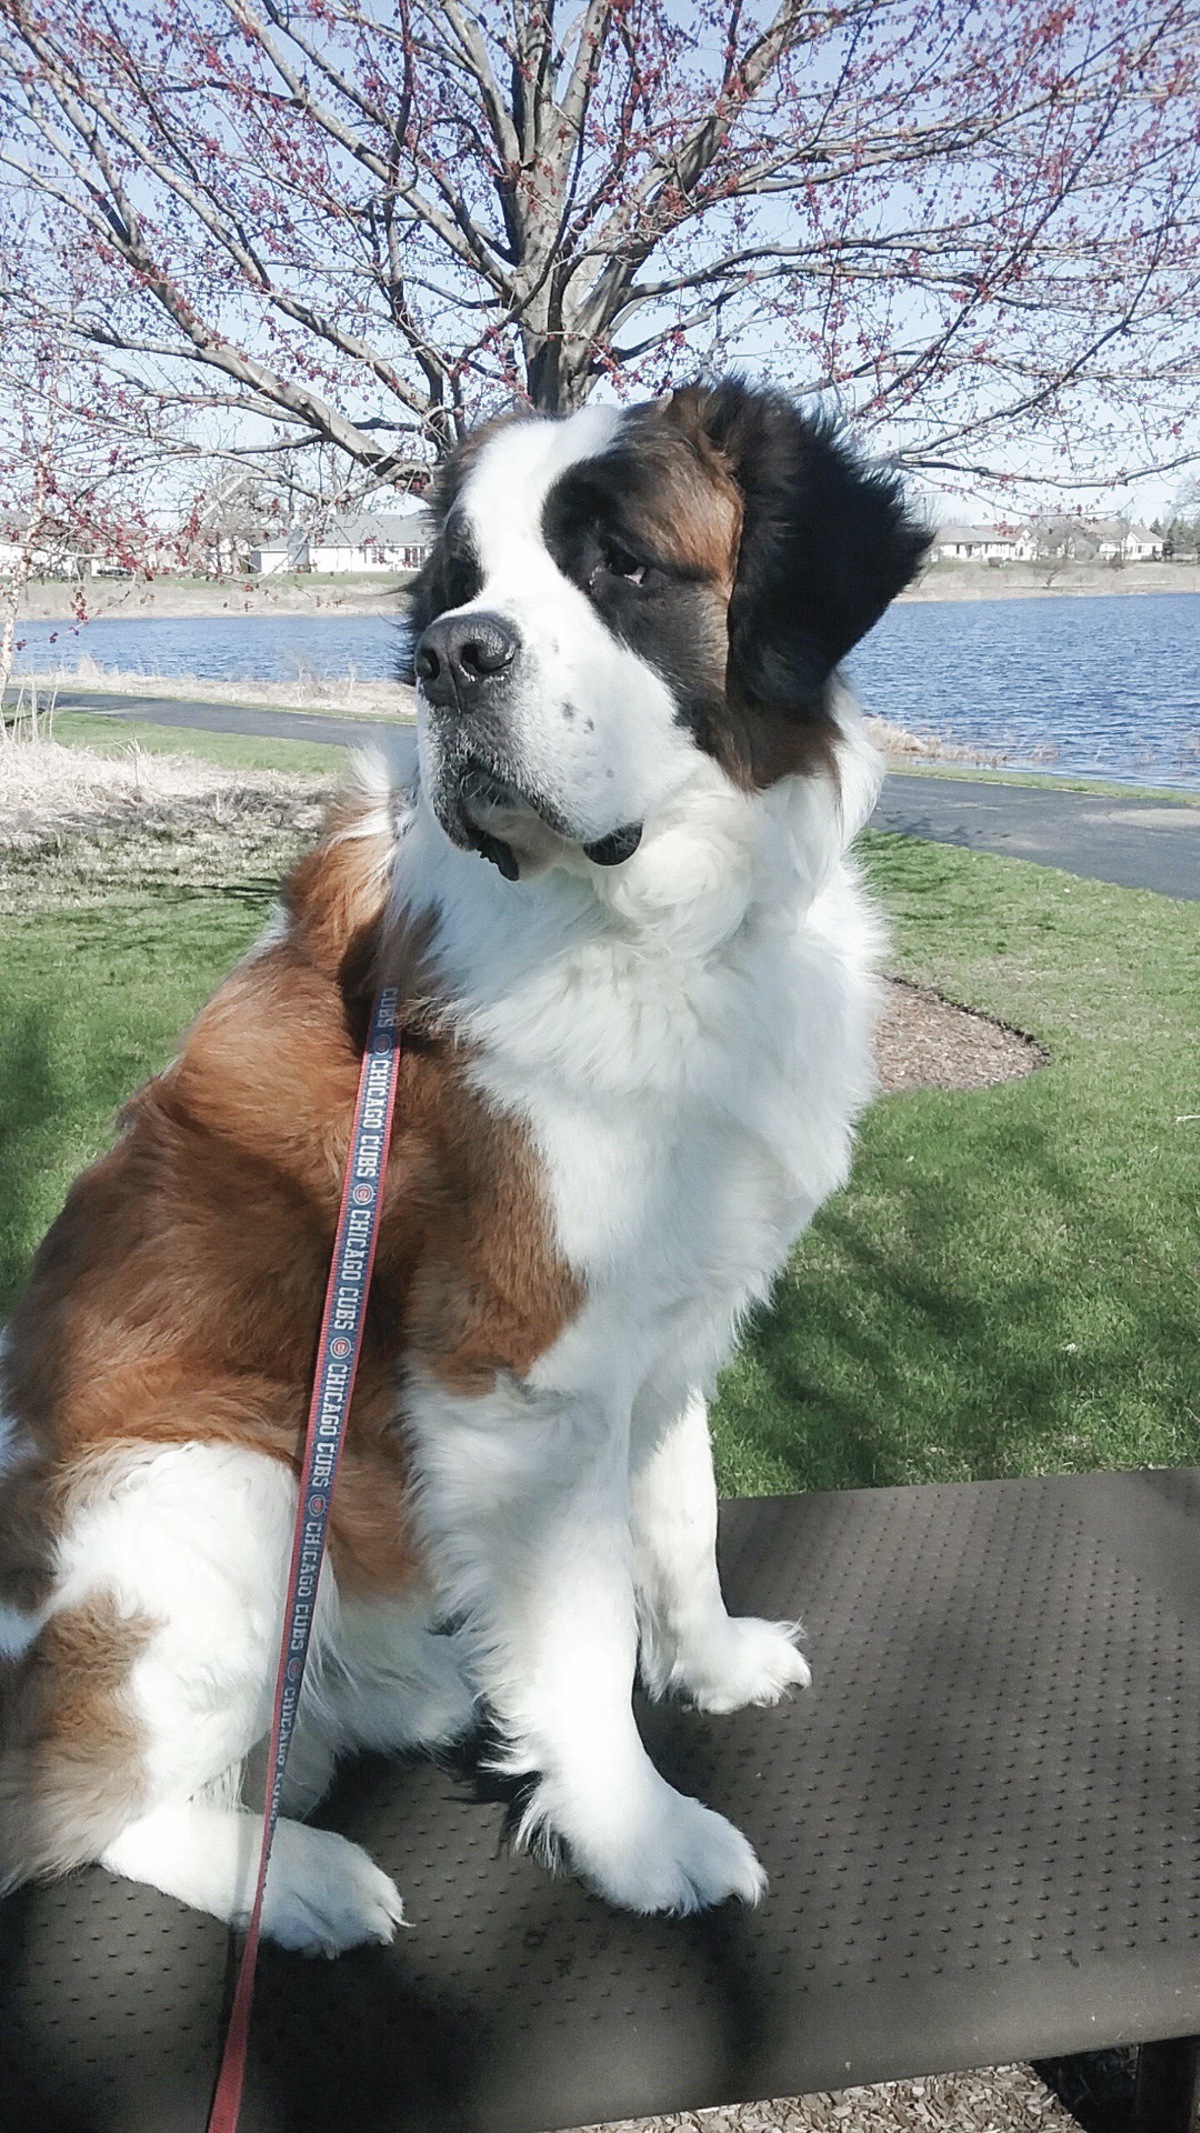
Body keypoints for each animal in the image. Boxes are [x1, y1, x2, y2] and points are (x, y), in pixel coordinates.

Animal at [0, 379, 929, 1953]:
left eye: (620, 565)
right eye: (456, 587)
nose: (452, 656)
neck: (664, 925)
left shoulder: (667, 1320)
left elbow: (675, 1515)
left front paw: (711, 1663)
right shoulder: (521, 1373)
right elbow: (583, 1625)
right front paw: (635, 1832)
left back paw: (414, 1689)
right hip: (228, 1487)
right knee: (88, 1805)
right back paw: (303, 1877)